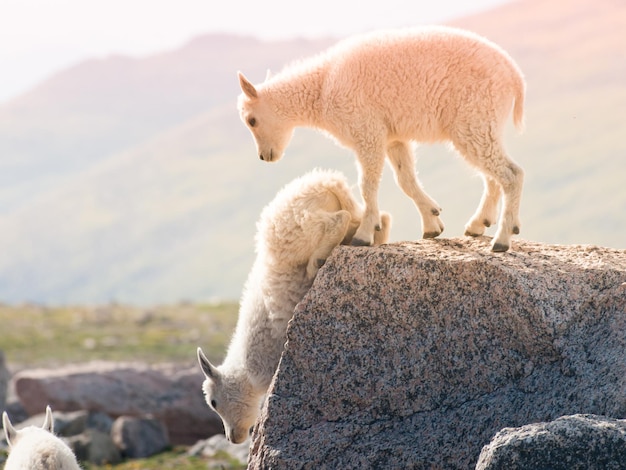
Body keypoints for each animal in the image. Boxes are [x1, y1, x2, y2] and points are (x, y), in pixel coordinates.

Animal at [197, 169, 388, 444]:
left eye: (213, 402)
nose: (234, 438)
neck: (246, 368)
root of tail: (328, 183)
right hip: (349, 215)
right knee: (380, 219)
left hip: (301, 228)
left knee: (339, 220)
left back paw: (317, 261)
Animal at [236, 24, 524, 253]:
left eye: (251, 120)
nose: (265, 156)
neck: (322, 88)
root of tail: (515, 76)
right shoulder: (393, 137)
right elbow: (405, 180)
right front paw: (432, 222)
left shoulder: (366, 130)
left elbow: (367, 184)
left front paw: (363, 235)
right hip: (484, 123)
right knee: (492, 174)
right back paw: (478, 225)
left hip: (474, 118)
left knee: (511, 174)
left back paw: (501, 240)